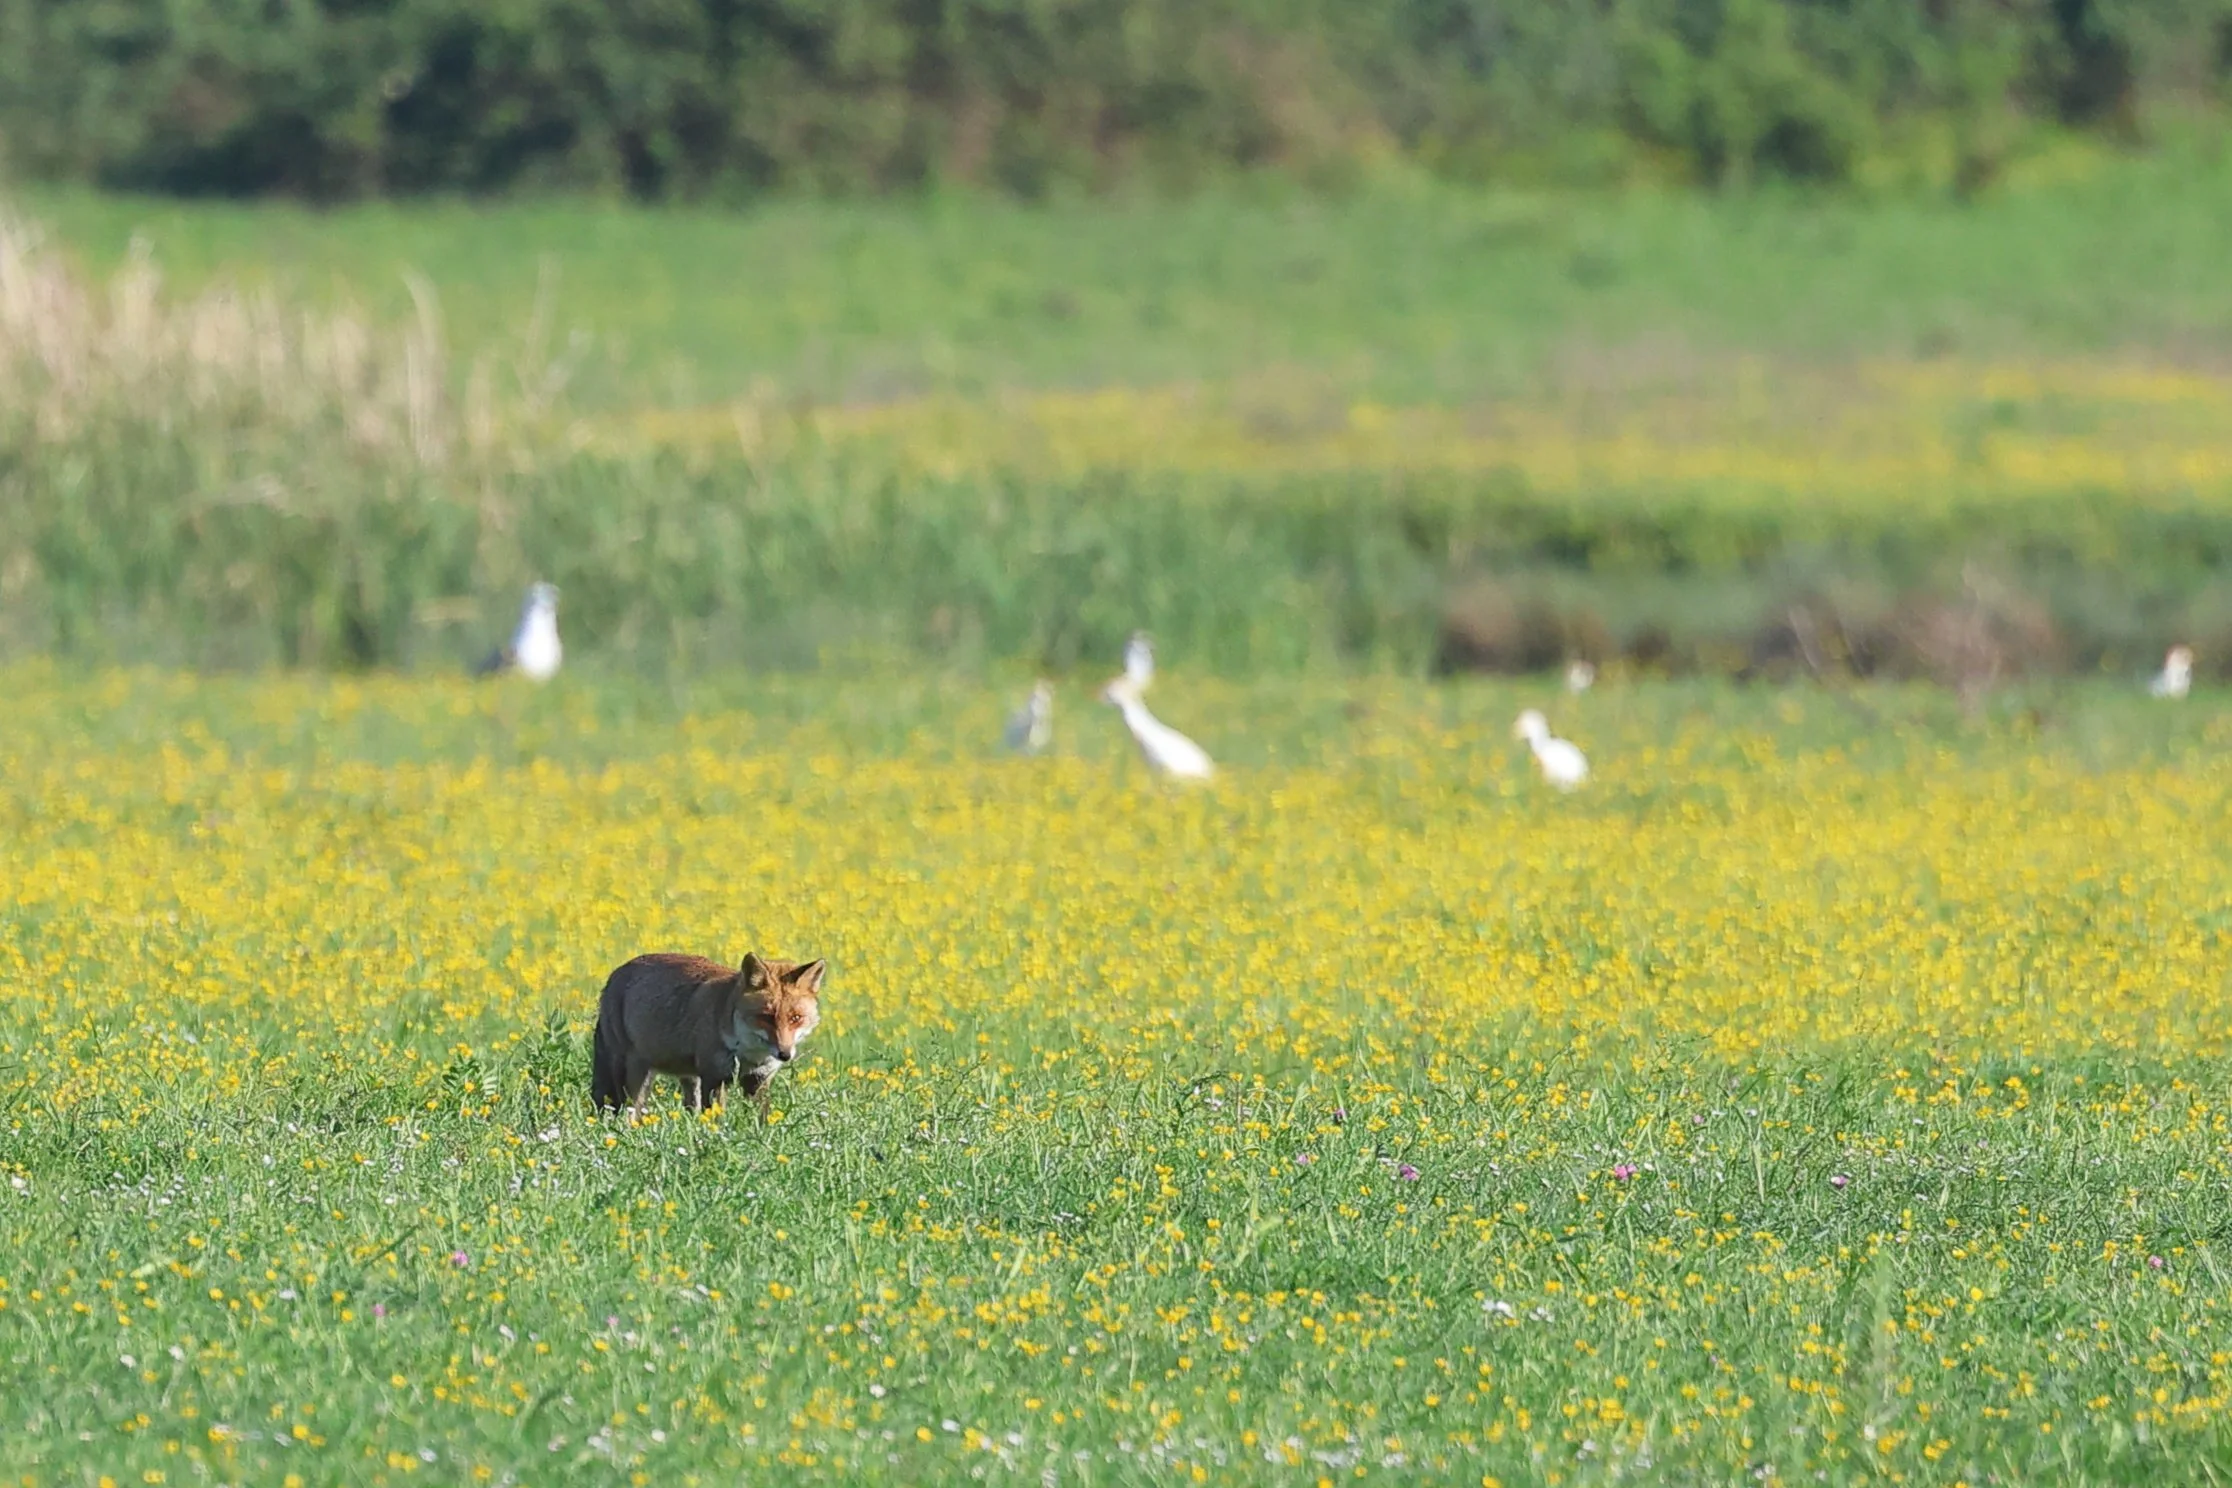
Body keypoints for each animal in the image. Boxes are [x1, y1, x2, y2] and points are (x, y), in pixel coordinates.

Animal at [590, 951, 826, 1119]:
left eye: (796, 1018)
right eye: (766, 1017)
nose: (784, 1054)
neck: (748, 1054)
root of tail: (616, 974)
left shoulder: (758, 1080)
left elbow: (762, 1120)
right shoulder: (715, 1077)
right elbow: (716, 1119)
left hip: (688, 1077)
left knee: (689, 1109)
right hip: (632, 1075)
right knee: (630, 1111)